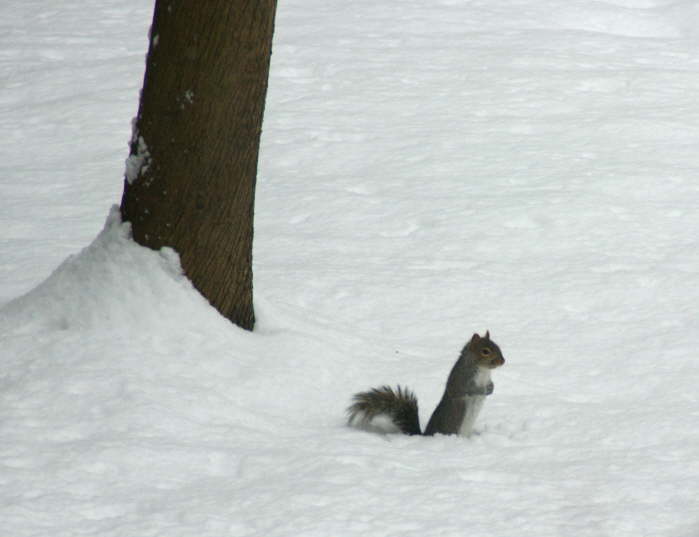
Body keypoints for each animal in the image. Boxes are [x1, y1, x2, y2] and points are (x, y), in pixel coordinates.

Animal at [347, 332, 505, 437]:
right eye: (485, 351)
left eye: (497, 346)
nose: (503, 361)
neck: (483, 370)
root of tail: (425, 435)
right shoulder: (461, 380)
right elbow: (467, 390)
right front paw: (484, 390)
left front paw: (492, 387)